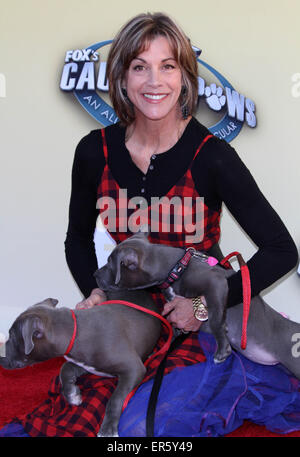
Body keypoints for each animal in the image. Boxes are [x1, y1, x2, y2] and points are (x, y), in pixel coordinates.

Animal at [0, 290, 162, 436]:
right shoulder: (86, 364)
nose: (0, 357)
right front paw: (73, 395)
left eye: (12, 336)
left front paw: (107, 430)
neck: (75, 331)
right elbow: (64, 369)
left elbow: (115, 398)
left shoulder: (134, 369)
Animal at [94, 232, 300, 378]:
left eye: (110, 263)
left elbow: (216, 319)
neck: (176, 268)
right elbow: (175, 329)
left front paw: (222, 349)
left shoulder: (217, 284)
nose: (95, 274)